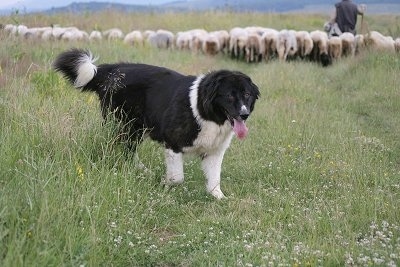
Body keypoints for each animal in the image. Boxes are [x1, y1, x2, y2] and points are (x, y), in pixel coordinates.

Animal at [54, 48, 260, 199]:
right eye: (230, 95)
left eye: (247, 94)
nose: (244, 114)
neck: (204, 110)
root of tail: (113, 70)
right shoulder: (173, 144)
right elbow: (177, 178)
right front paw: (165, 184)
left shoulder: (214, 152)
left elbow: (214, 180)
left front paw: (218, 197)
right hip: (123, 125)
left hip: (135, 128)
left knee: (129, 150)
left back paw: (142, 170)